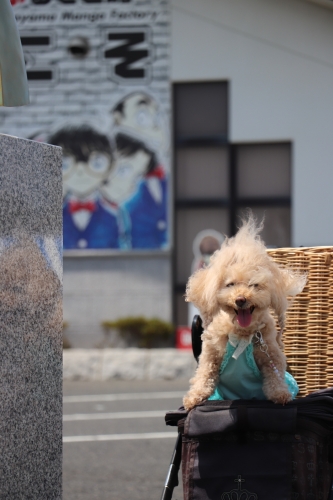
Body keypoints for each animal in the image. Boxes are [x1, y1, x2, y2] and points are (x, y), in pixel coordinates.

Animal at [183, 215, 304, 410]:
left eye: (254, 285)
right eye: (230, 284)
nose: (240, 299)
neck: (241, 333)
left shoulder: (271, 355)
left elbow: (275, 376)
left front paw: (280, 394)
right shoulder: (210, 354)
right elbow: (204, 374)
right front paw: (194, 397)